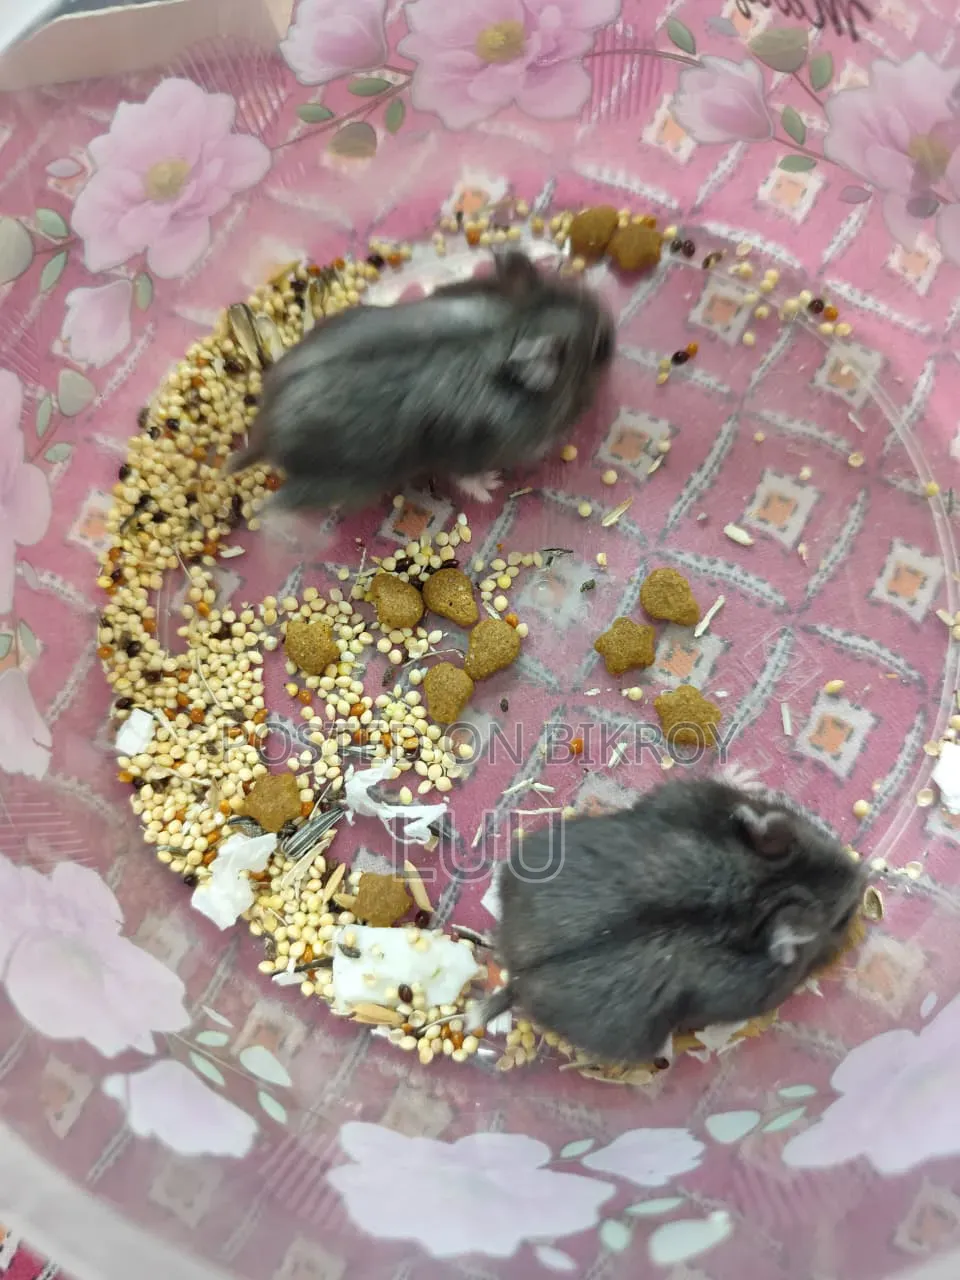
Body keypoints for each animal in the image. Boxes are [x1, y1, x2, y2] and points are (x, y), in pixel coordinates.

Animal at [222, 249, 614, 511]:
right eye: (599, 349)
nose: (613, 333)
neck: (511, 329)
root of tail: (266, 433)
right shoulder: (470, 451)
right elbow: (468, 478)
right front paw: (491, 486)